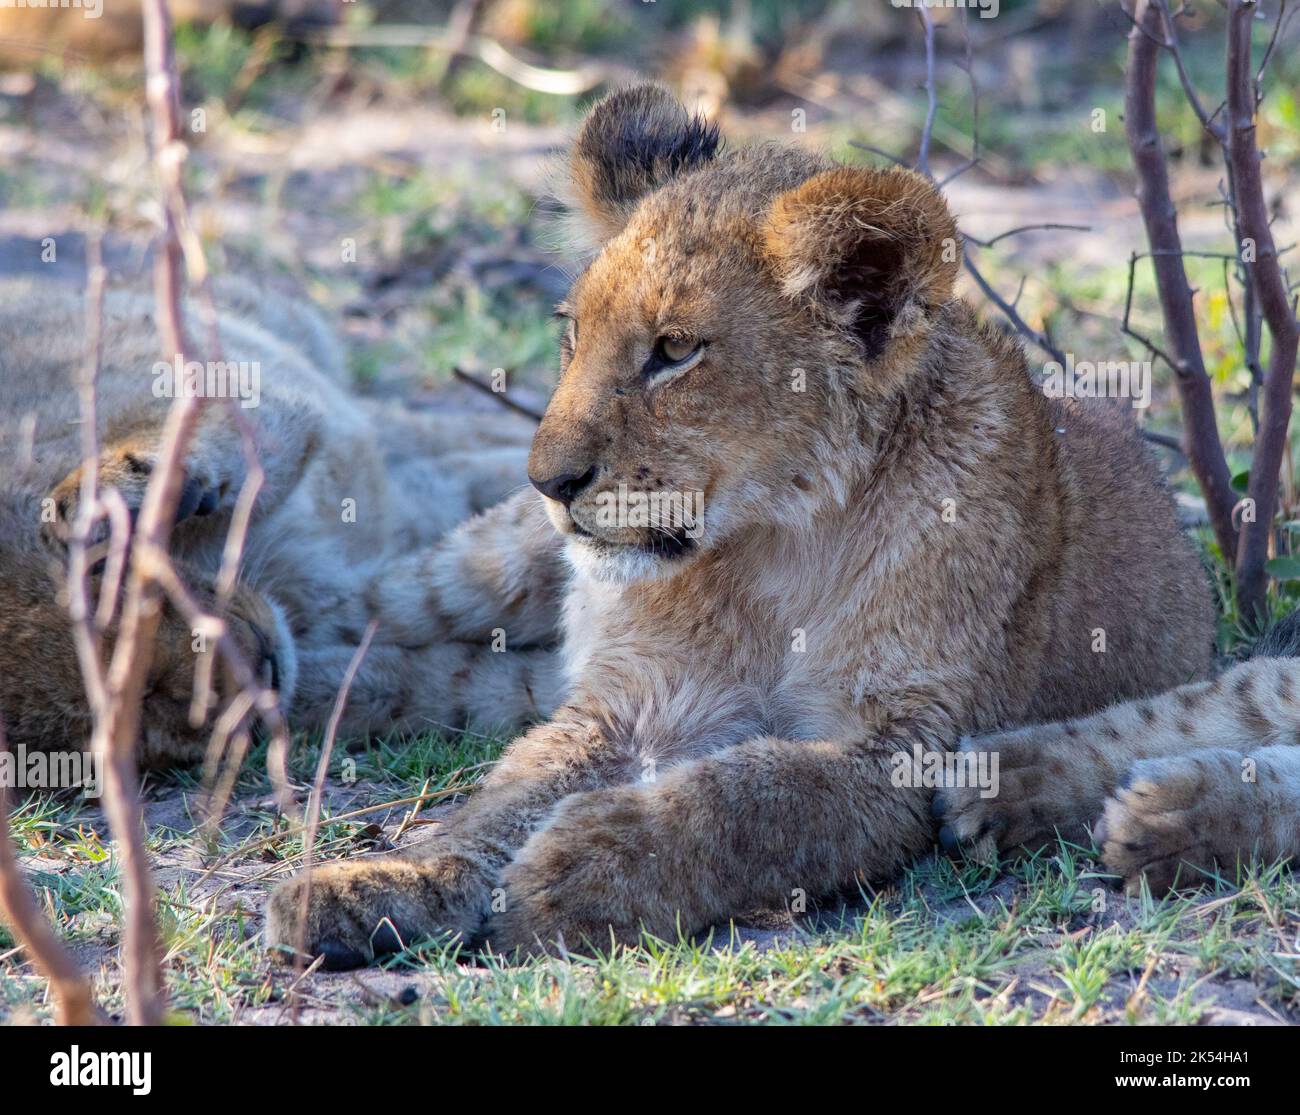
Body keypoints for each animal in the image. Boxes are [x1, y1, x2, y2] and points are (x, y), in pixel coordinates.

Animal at [0, 274, 568, 765]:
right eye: (140, 708)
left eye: (126, 589)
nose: (260, 671)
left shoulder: (237, 377)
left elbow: (231, 422)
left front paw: (111, 491)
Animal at [262, 84, 1300, 970]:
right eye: (572, 333)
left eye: (674, 351)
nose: (549, 478)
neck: (769, 545)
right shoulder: (627, 703)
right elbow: (499, 803)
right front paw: (387, 877)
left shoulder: (905, 747)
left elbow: (747, 793)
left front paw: (580, 866)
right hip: (496, 559)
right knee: (365, 608)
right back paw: (245, 664)